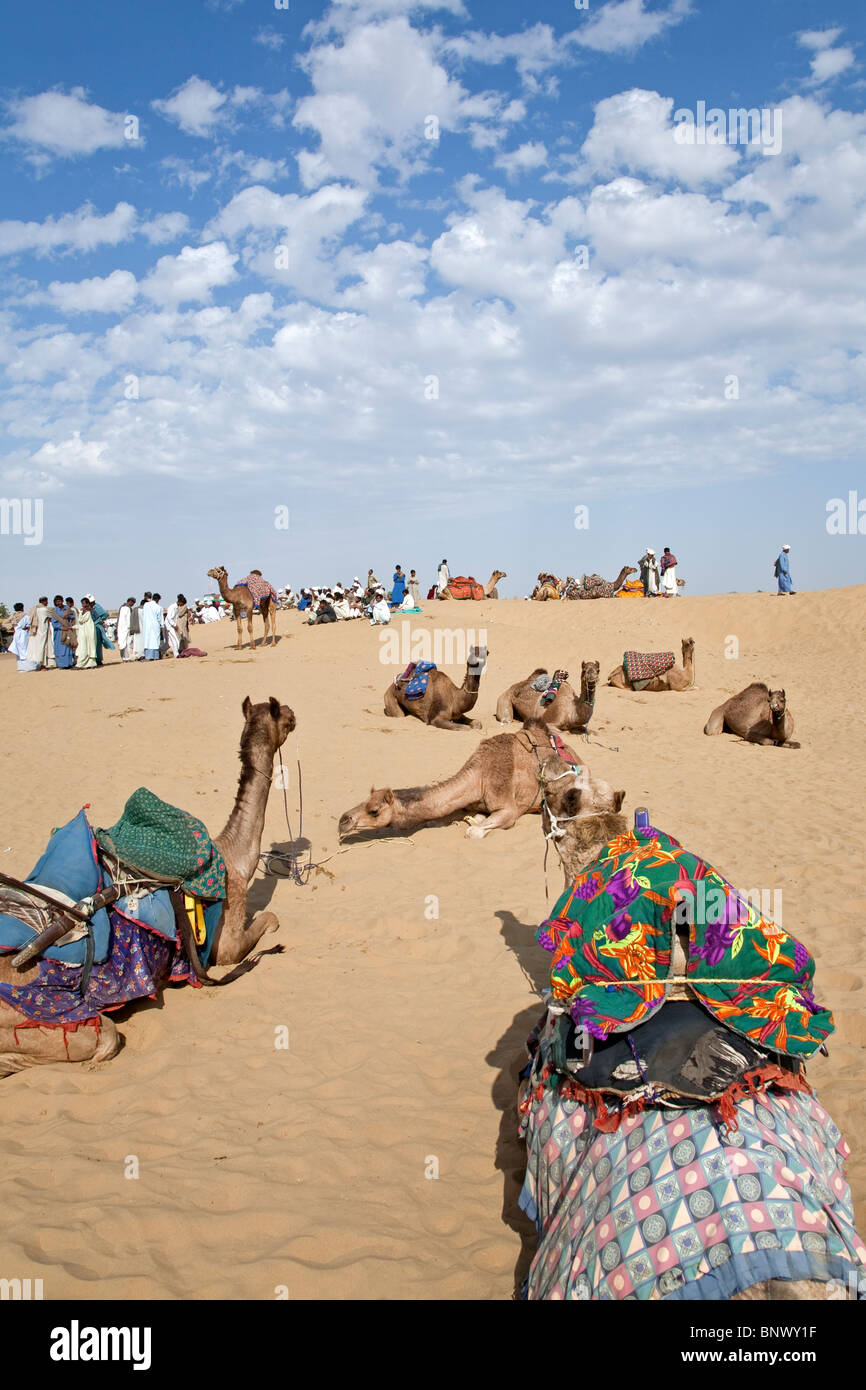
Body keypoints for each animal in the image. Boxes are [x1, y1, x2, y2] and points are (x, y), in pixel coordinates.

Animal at [0, 695, 294, 1073]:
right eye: (282, 715)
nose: (295, 714)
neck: (236, 859)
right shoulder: (225, 940)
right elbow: (269, 922)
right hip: (53, 1015)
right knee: (102, 1037)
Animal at [335, 722, 625, 839]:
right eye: (364, 799)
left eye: (374, 810)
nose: (343, 821)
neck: (480, 776)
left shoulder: (508, 808)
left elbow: (475, 830)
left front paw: (476, 824)